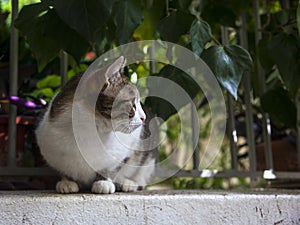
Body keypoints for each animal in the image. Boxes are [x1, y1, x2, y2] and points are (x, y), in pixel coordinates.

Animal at [35, 56, 157, 193]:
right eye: (133, 104)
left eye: (139, 103)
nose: (144, 118)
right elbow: (64, 168)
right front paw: (67, 181)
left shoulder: (126, 150)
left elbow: (111, 167)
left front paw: (104, 182)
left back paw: (129, 183)